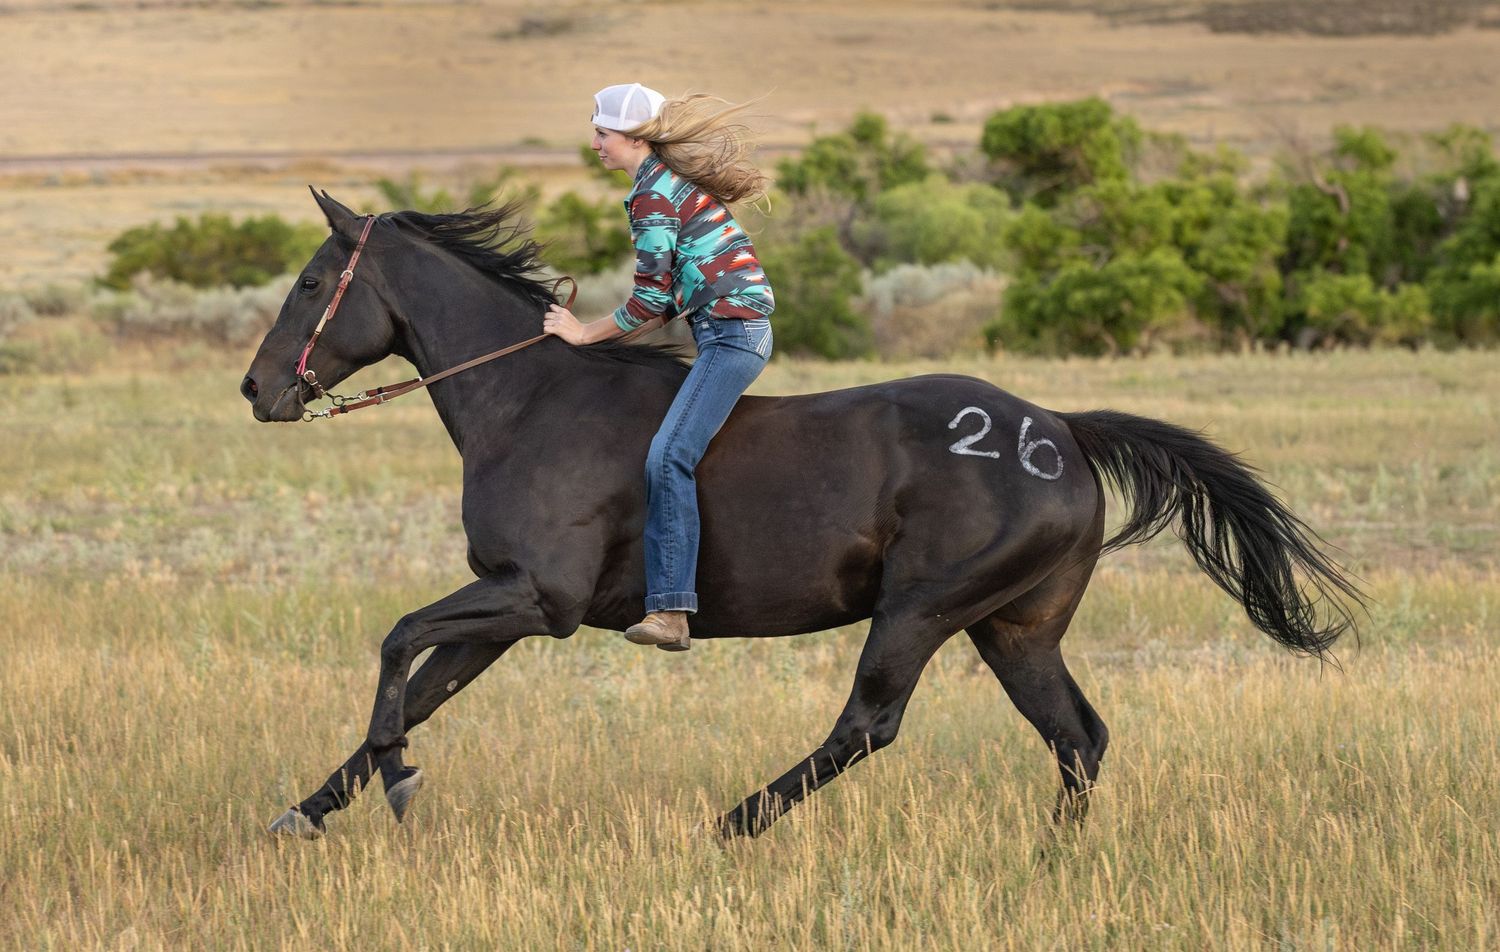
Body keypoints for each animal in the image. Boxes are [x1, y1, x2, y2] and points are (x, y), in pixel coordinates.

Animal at [241, 190, 1361, 840]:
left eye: (310, 281)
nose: (257, 390)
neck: (528, 401)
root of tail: (1060, 431)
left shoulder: (537, 600)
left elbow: (398, 642)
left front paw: (394, 782)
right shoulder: (506, 610)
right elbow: (422, 687)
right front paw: (310, 809)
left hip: (920, 610)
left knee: (869, 723)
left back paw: (731, 823)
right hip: (1015, 628)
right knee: (1077, 737)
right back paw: (1054, 862)